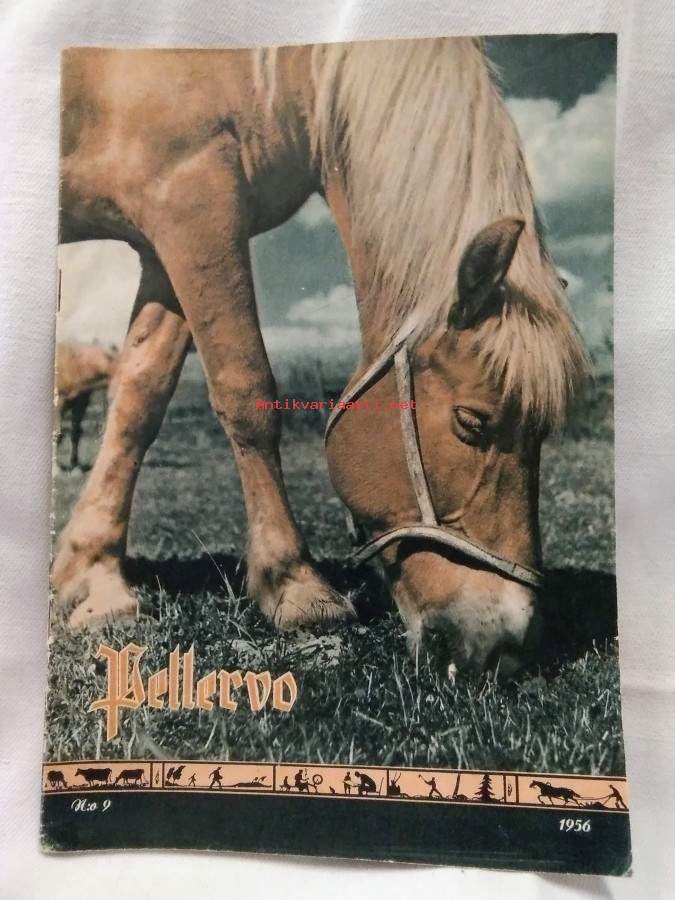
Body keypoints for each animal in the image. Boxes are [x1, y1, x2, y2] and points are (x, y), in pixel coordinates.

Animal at [51, 39, 588, 674]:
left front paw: (94, 575)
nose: (505, 650)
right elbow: (246, 391)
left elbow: (139, 399)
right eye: (472, 422)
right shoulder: (193, 204)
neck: (276, 71)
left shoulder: (167, 239)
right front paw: (295, 585)